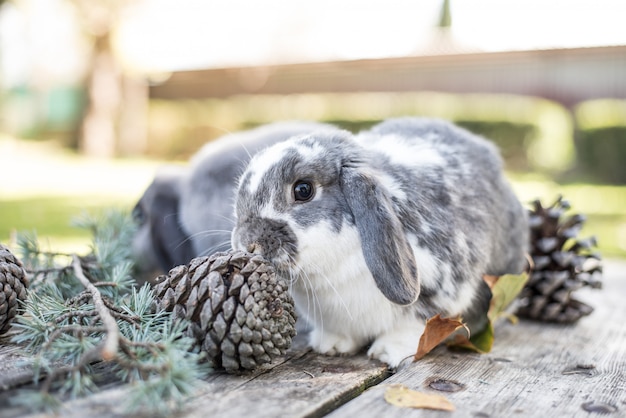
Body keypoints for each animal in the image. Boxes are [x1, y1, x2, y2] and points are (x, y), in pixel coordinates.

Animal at [229, 116, 528, 366]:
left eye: (303, 190)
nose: (249, 243)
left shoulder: (444, 289)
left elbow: (416, 324)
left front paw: (386, 353)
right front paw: (331, 346)